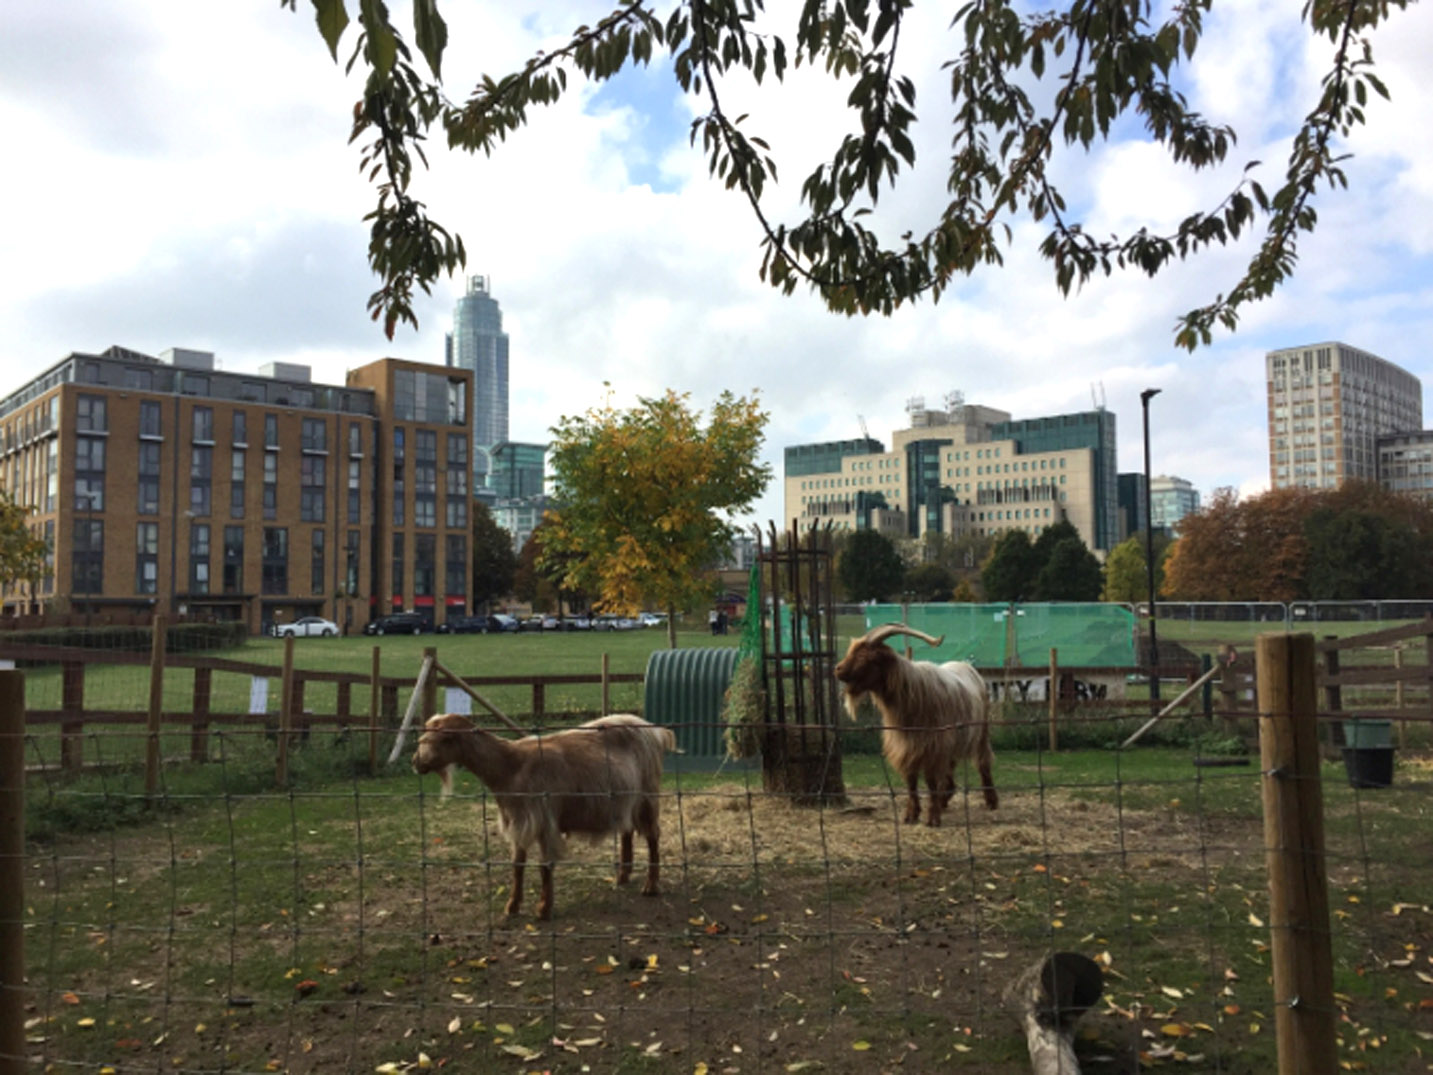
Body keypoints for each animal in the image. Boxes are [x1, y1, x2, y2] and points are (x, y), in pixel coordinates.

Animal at [411, 712, 677, 920]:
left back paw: (651, 885)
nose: (415, 762)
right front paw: (512, 905)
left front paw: (543, 908)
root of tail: (654, 730)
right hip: (624, 799)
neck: (510, 766)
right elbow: (517, 866)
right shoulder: (518, 821)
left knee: (653, 835)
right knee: (627, 830)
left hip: (647, 794)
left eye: (436, 739)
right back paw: (622, 875)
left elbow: (544, 867)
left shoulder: (544, 820)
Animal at [834, 623, 997, 826]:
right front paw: (911, 815)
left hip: (981, 731)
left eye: (866, 656)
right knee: (950, 770)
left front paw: (932, 818)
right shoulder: (907, 747)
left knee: (983, 763)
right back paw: (945, 799)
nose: (837, 669)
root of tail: (967, 666)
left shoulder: (932, 746)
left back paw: (991, 801)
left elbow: (930, 782)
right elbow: (911, 782)